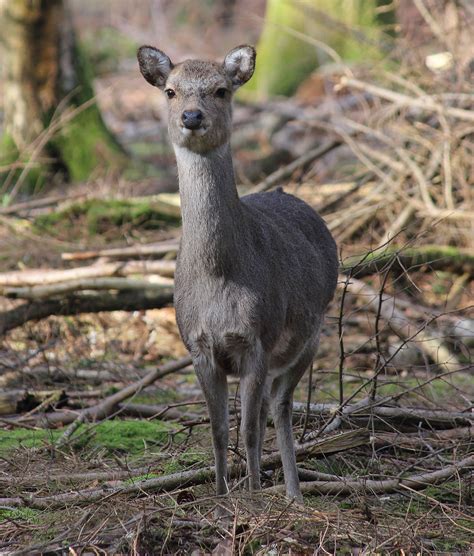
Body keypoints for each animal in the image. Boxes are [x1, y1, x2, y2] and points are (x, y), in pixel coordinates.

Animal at [135, 45, 338, 502]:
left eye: (221, 90)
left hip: (309, 336)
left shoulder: (257, 339)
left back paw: (292, 493)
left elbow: (247, 430)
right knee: (266, 407)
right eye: (170, 90)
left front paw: (253, 496)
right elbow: (217, 430)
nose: (192, 116)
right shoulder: (197, 344)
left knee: (279, 407)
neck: (219, 276)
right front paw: (221, 495)